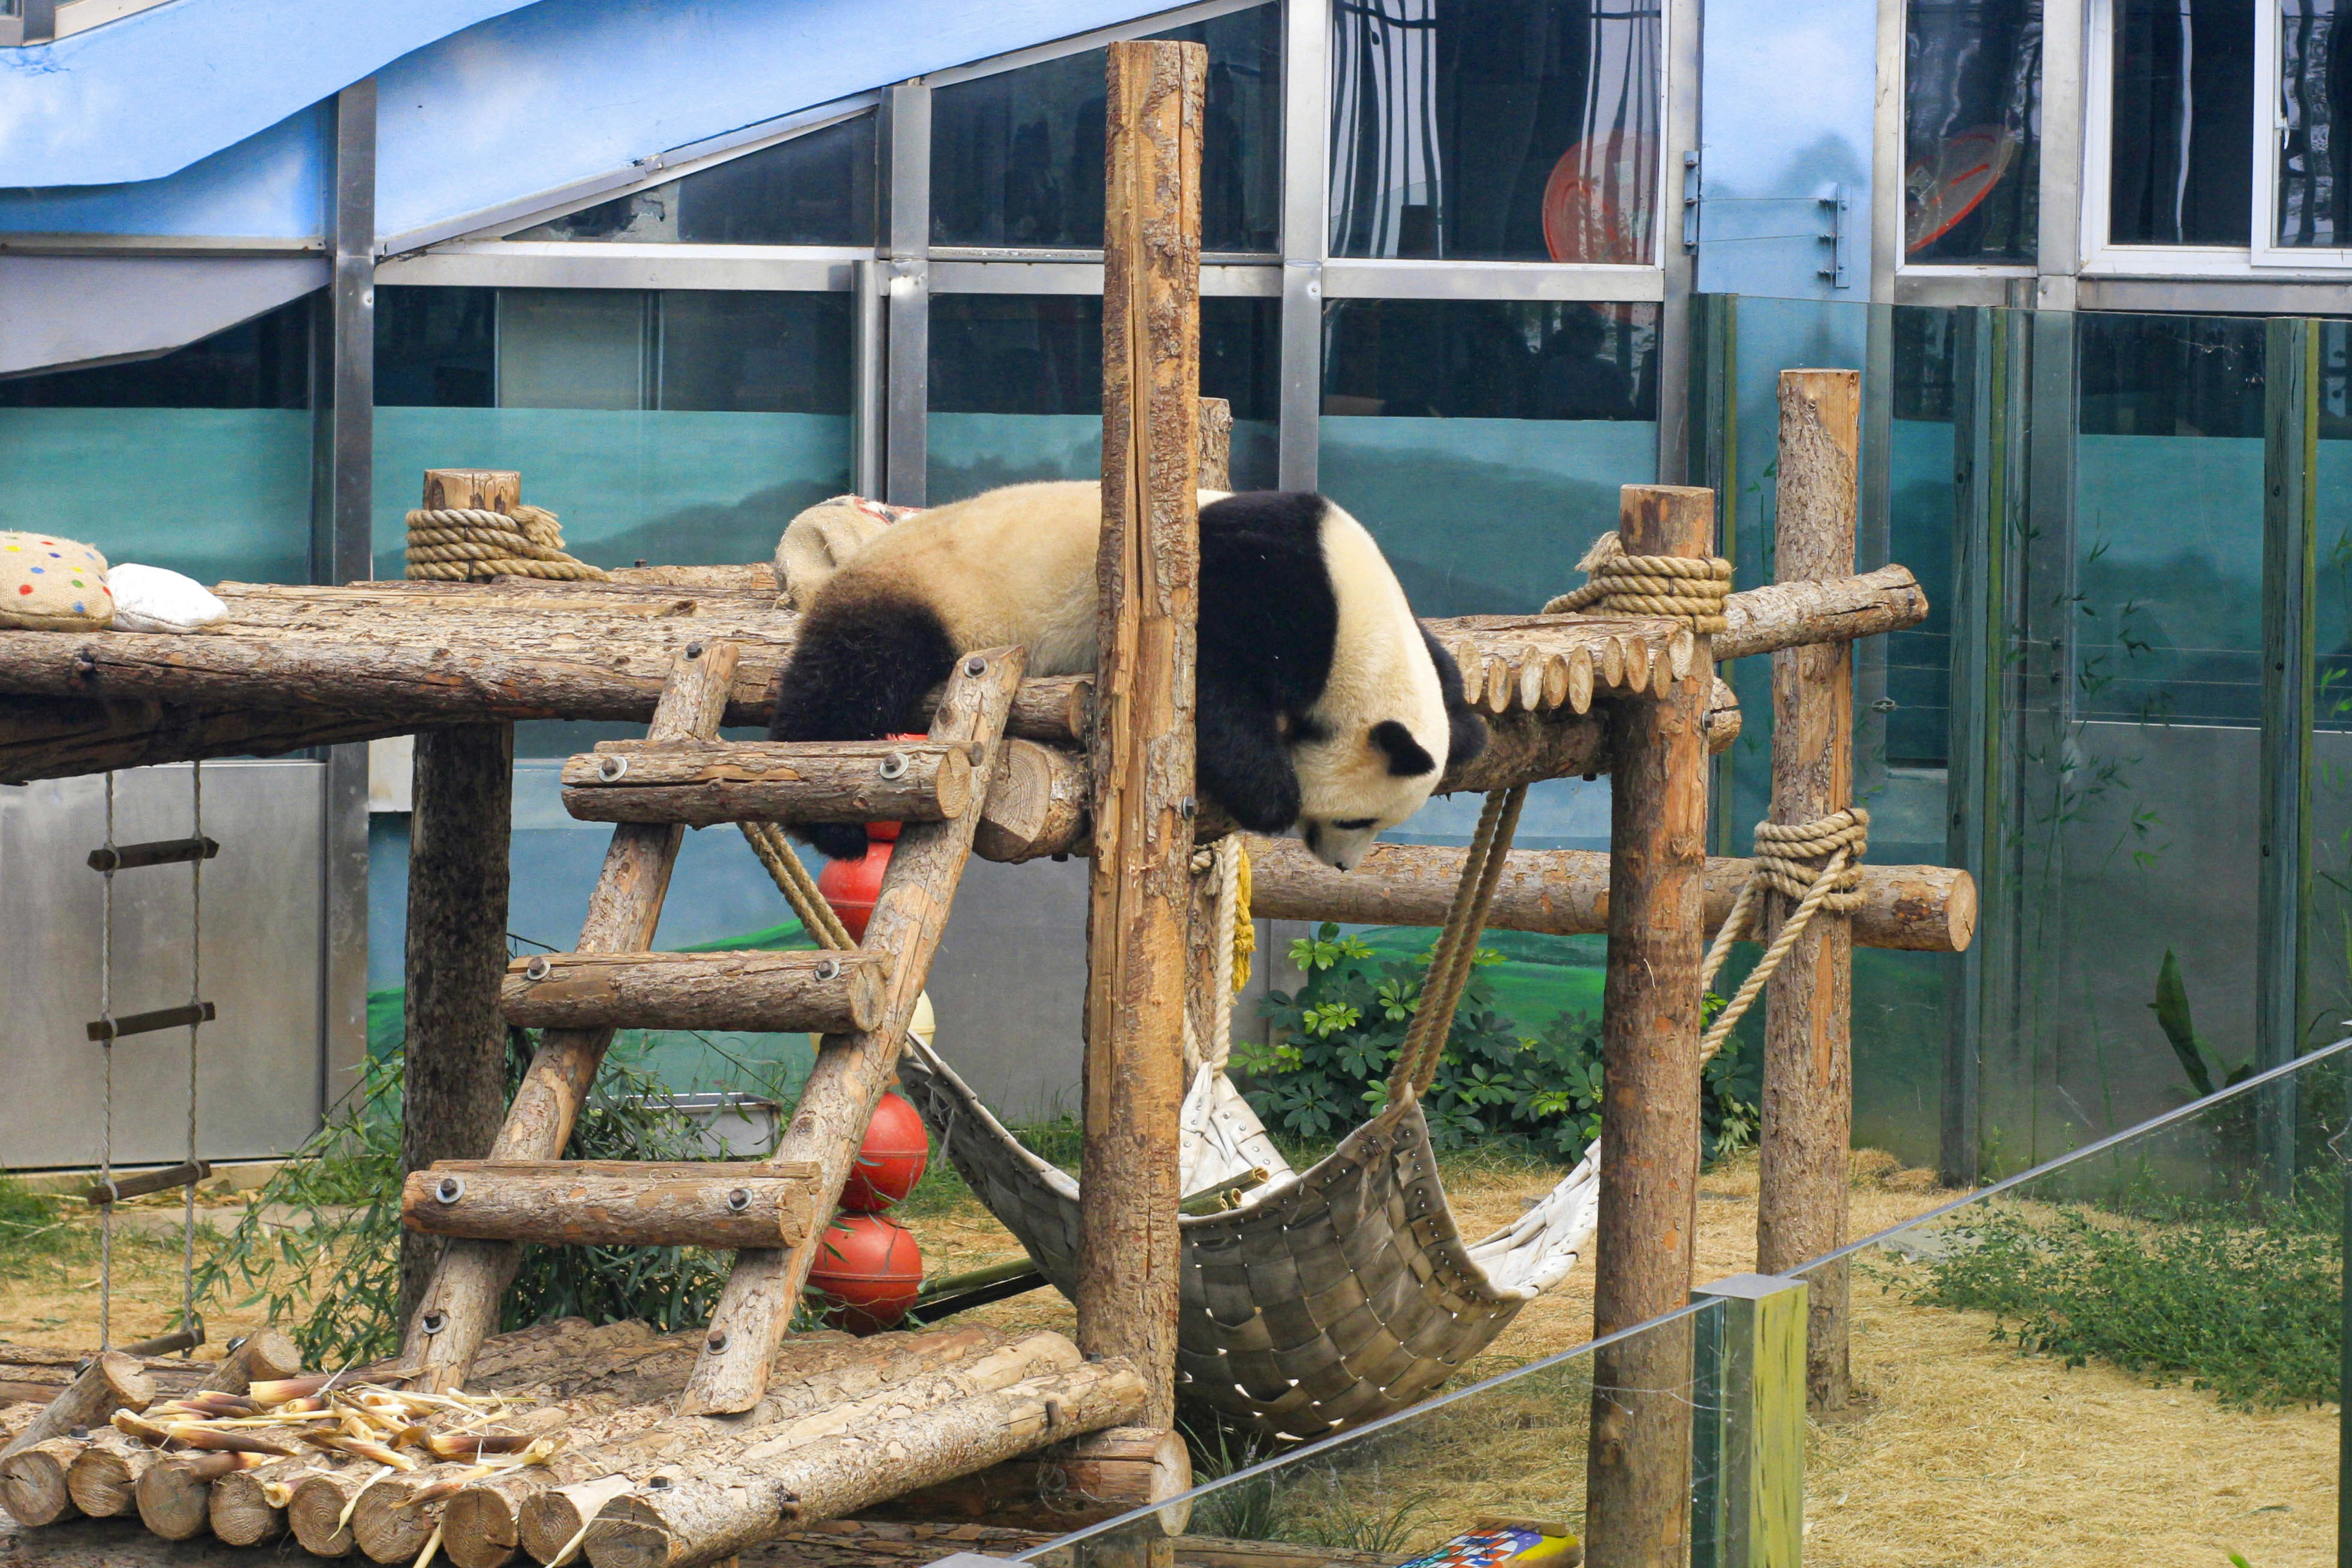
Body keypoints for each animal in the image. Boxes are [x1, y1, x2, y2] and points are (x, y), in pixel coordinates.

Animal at [768, 480, 1487, 870]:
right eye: (1362, 820)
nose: (1341, 865)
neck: (1359, 631)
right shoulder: (1251, 580)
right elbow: (1209, 686)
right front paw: (1272, 791)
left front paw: (1471, 728)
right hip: (929, 593)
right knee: (850, 678)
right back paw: (832, 823)